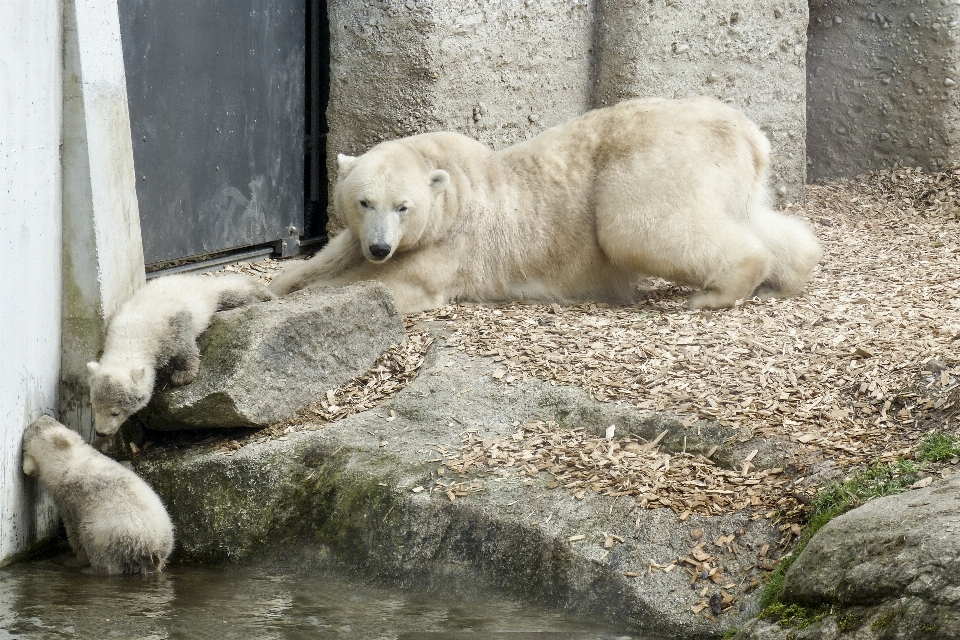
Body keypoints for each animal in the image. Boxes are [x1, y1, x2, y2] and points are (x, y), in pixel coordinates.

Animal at [268, 97, 816, 312]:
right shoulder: (360, 235)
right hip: (730, 176)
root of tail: (747, 134)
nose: (381, 247)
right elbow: (327, 259)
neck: (453, 188)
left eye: (404, 206)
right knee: (753, 218)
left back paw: (718, 290)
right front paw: (272, 287)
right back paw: (790, 272)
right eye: (364, 201)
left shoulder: (451, 246)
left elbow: (394, 284)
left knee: (633, 228)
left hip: (653, 163)